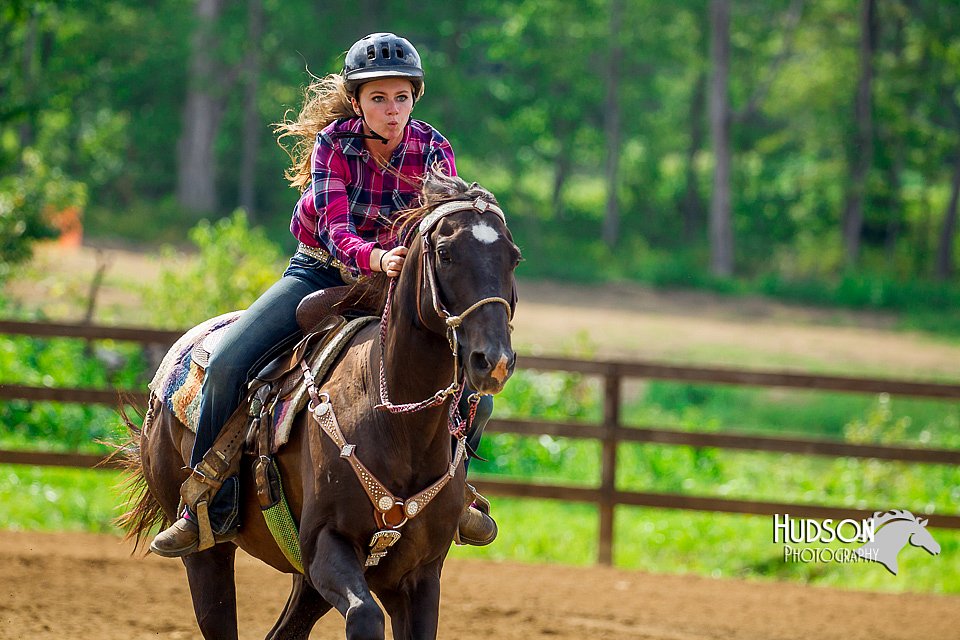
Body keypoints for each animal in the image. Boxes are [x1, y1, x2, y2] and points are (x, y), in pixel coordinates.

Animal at [121, 171, 524, 640]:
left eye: (513, 258)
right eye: (445, 253)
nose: (493, 360)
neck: (395, 424)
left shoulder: (419, 576)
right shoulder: (326, 546)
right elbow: (364, 616)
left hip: (308, 586)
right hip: (208, 555)